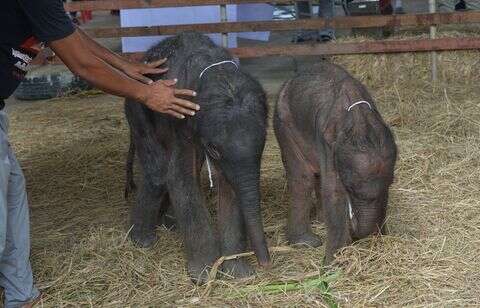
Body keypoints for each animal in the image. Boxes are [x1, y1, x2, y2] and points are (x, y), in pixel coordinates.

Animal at [124, 31, 270, 282]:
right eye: (214, 150)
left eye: (263, 146)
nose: (265, 263)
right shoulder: (181, 116)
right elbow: (180, 177)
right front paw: (203, 276)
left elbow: (229, 185)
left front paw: (239, 274)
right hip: (137, 107)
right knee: (158, 172)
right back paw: (142, 240)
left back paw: (169, 224)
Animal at [274, 61, 398, 264]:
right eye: (351, 188)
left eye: (391, 183)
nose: (353, 224)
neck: (359, 121)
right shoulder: (328, 143)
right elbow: (334, 191)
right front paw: (333, 264)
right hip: (284, 123)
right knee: (302, 179)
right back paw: (306, 242)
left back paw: (321, 222)